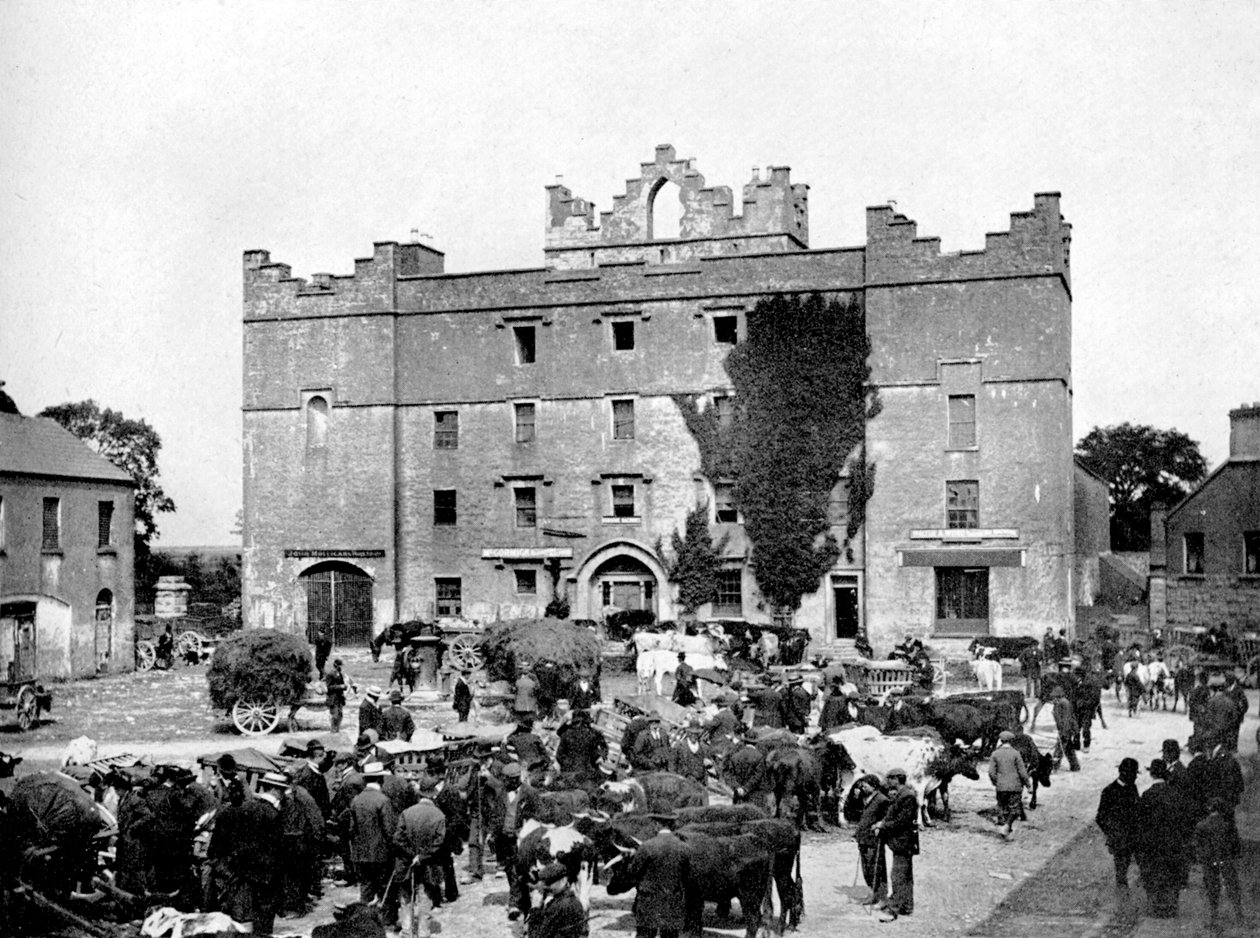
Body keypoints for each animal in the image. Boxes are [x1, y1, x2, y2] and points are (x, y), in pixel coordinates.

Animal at [826, 726, 982, 827]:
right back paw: (842, 822)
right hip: (848, 778)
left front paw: (929, 821)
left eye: (975, 758)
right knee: (842, 797)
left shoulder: (927, 785)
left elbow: (925, 804)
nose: (977, 776)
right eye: (966, 757)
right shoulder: (919, 784)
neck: (933, 755)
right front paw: (919, 824)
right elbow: (919, 803)